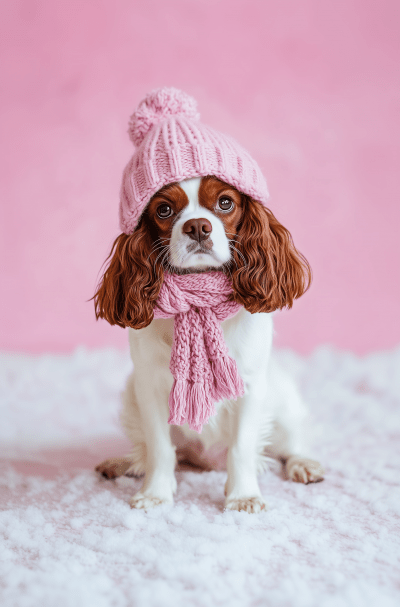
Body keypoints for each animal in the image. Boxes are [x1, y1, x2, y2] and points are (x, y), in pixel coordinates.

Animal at [94, 176, 324, 512]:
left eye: (225, 202)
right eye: (164, 209)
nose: (198, 227)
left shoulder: (249, 387)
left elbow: (242, 447)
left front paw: (243, 496)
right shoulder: (149, 389)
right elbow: (159, 448)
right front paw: (155, 493)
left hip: (285, 406)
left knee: (291, 445)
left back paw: (303, 464)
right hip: (131, 399)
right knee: (149, 451)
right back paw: (125, 463)